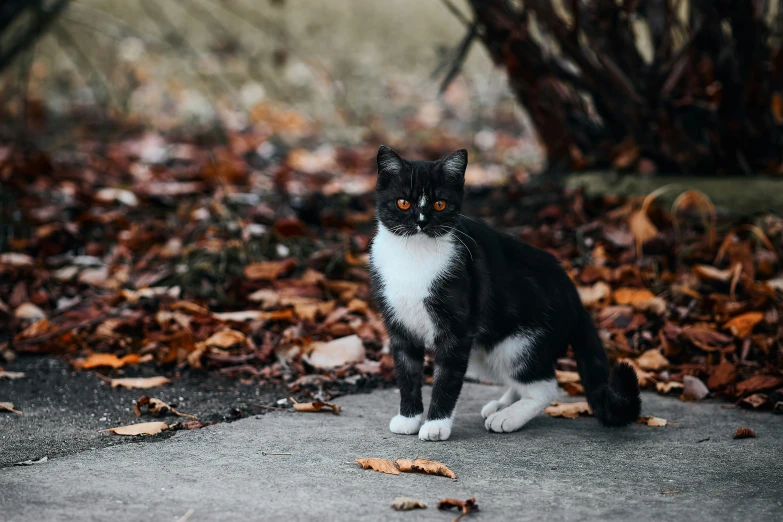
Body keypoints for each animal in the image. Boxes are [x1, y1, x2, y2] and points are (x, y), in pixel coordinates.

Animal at [370, 145, 640, 438]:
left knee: (545, 387)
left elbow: (446, 378)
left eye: (439, 204)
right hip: (484, 352)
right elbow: (407, 372)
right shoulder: (399, 326)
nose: (421, 222)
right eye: (403, 203)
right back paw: (502, 404)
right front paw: (408, 418)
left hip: (518, 343)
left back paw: (508, 417)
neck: (414, 256)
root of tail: (576, 298)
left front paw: (435, 425)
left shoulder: (458, 330)